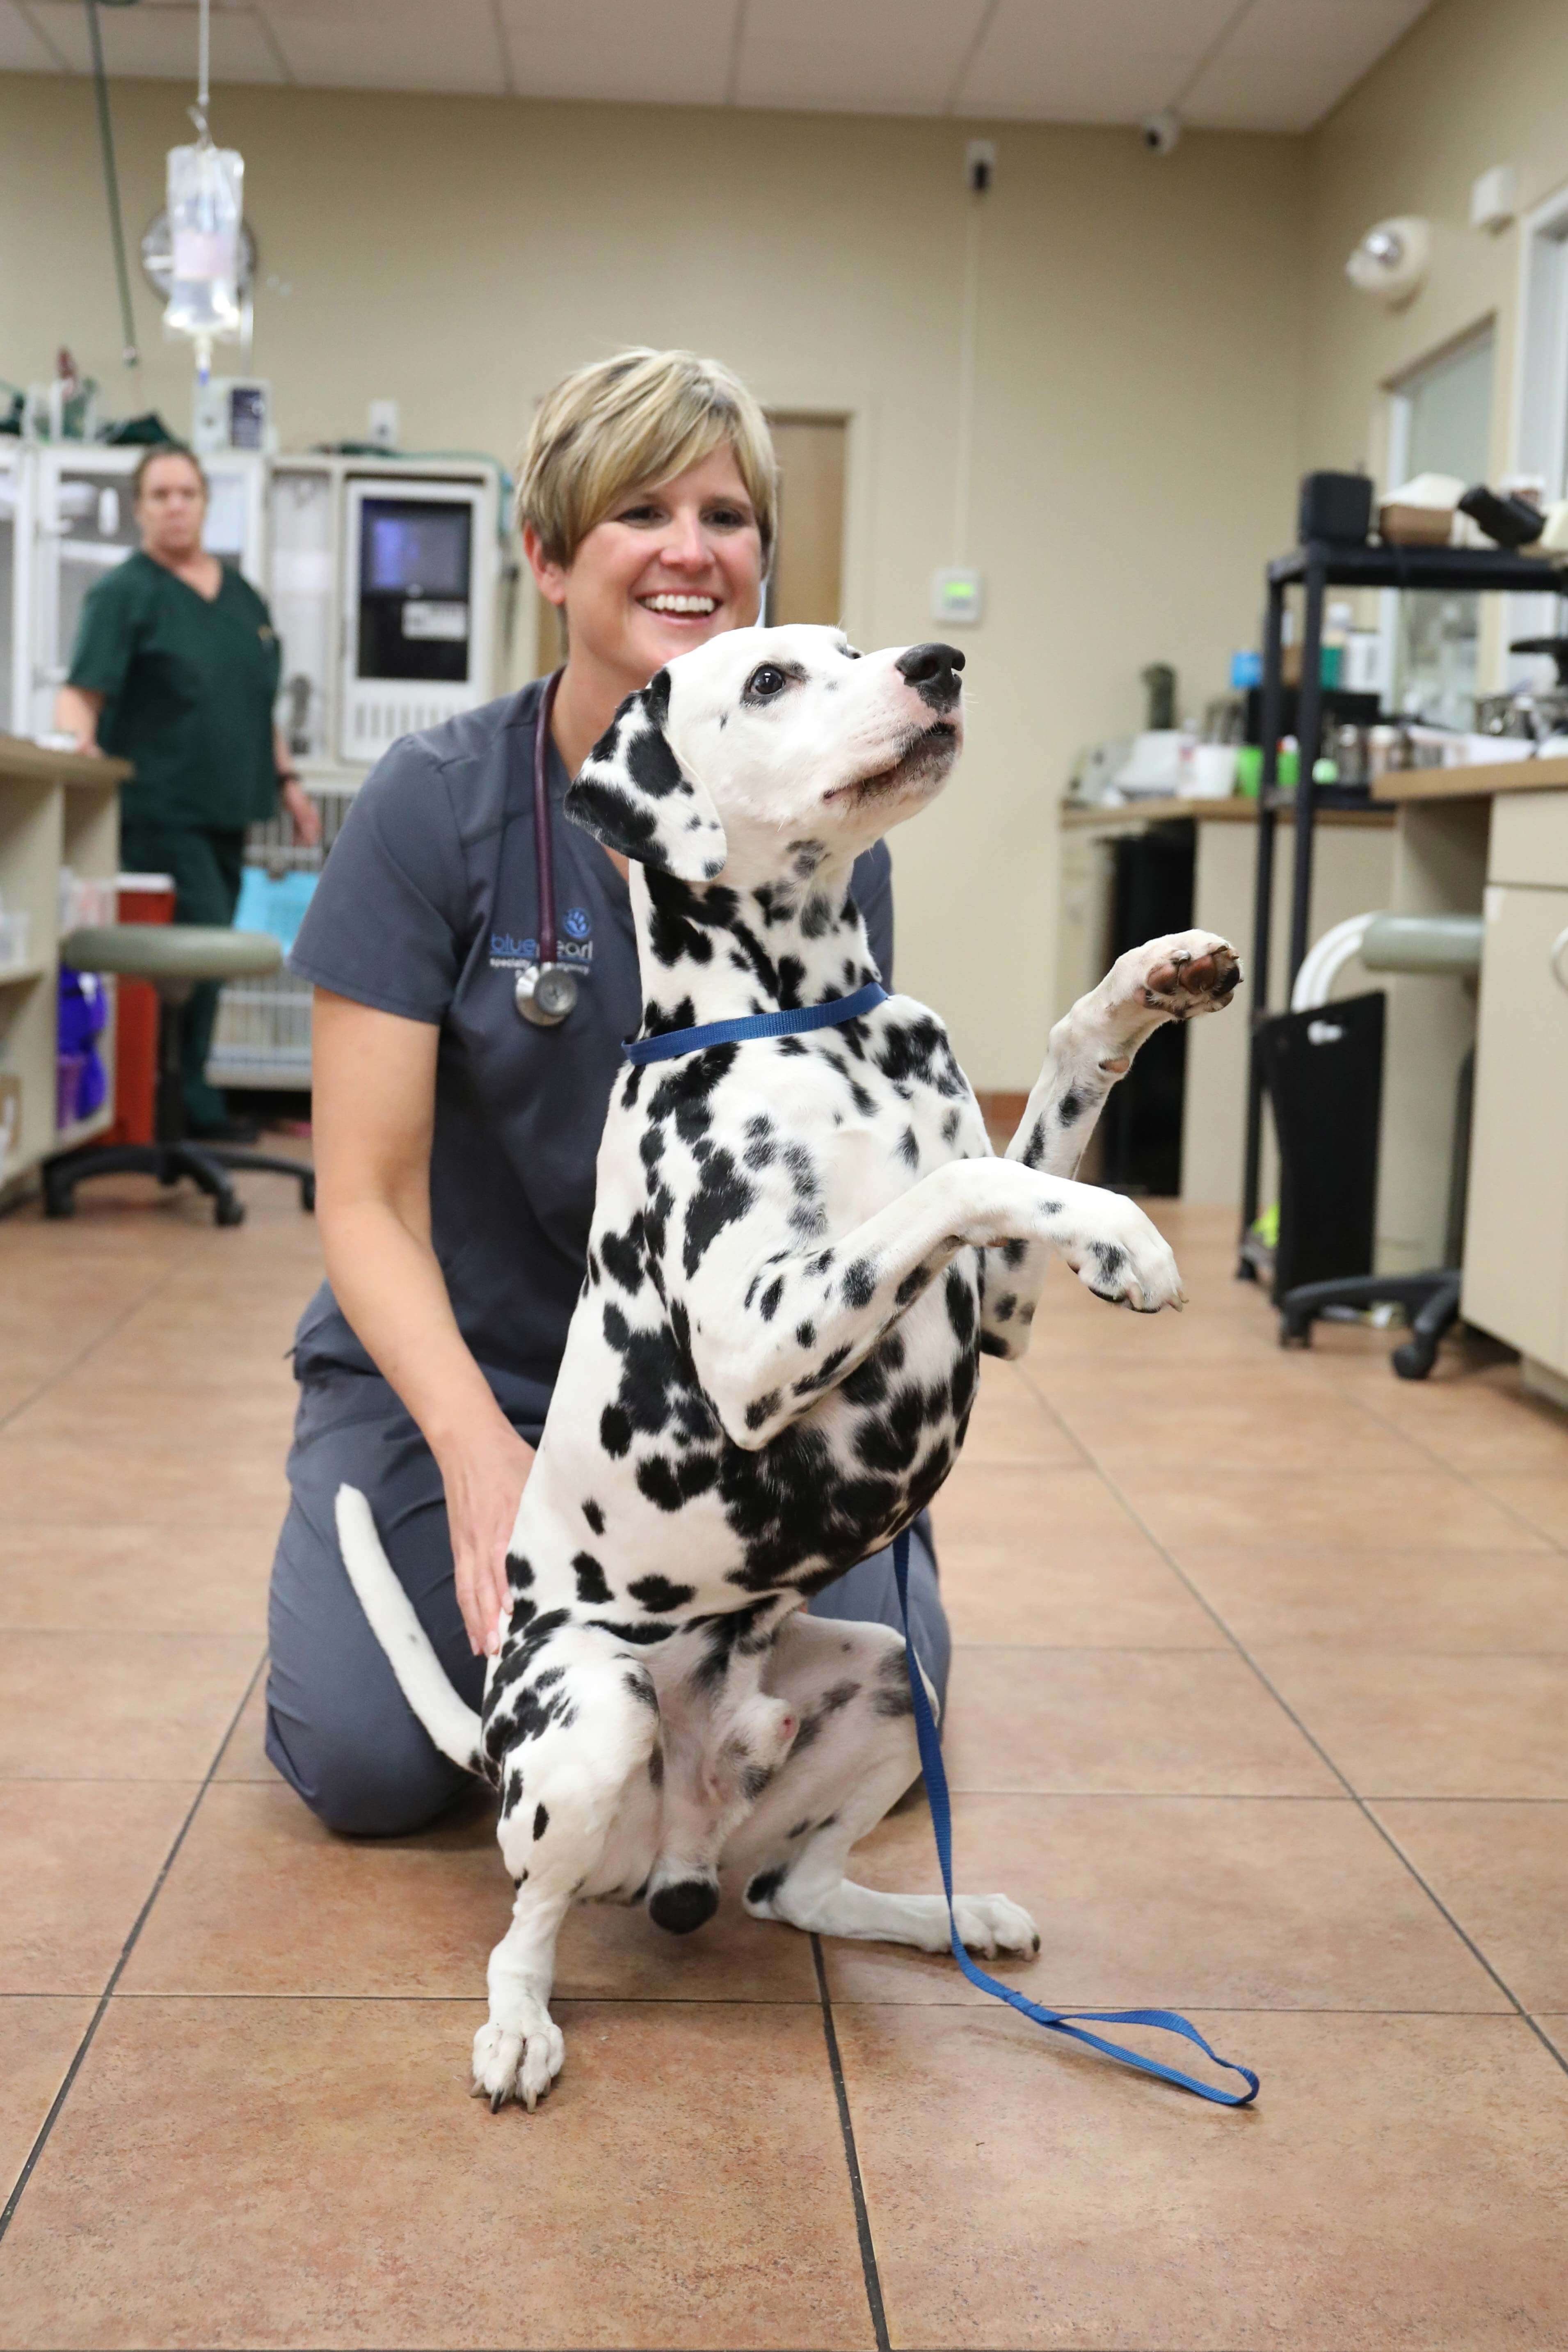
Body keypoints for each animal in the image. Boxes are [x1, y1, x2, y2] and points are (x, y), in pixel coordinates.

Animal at [341, 625, 1241, 2116]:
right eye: (768, 681)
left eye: (853, 648)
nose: (938, 661)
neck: (818, 1025)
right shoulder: (762, 1345)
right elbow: (968, 1178)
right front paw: (1126, 1227)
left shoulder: (993, 1310)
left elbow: (1033, 1108)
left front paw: (1146, 980)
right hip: (591, 1721)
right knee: (527, 1915)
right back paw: (518, 2023)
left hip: (890, 1676)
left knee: (798, 1891)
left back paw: (944, 1912)